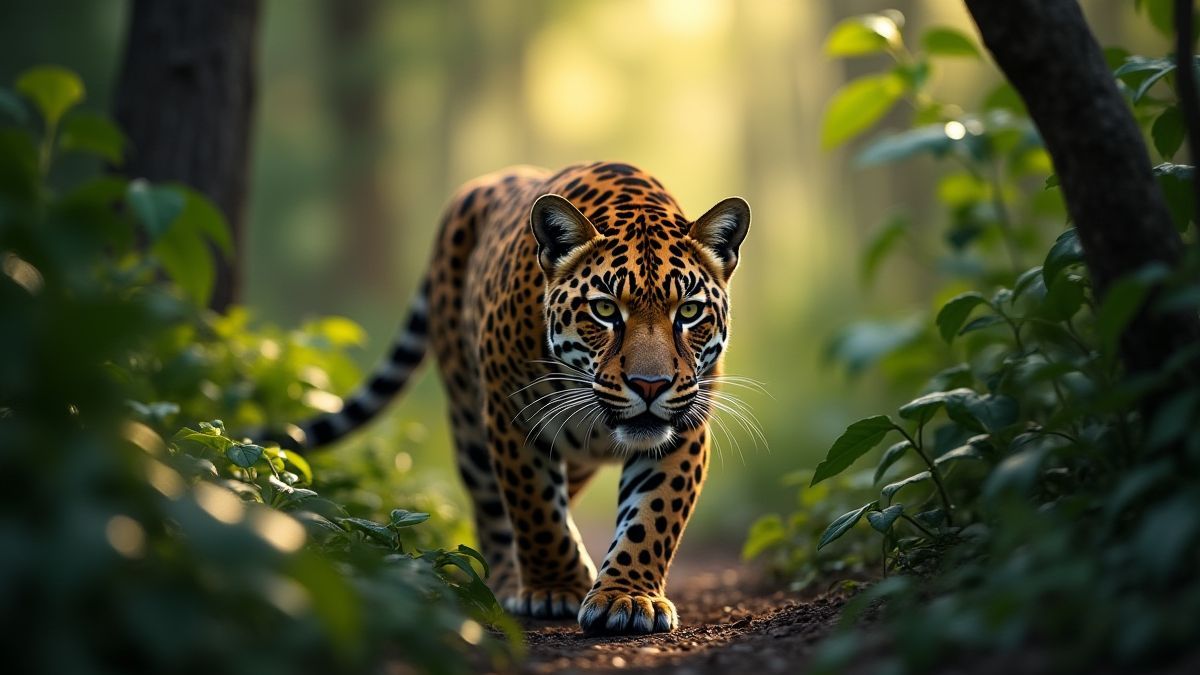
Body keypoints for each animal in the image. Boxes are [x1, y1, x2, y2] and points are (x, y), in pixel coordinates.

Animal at [281, 161, 751, 635]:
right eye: (604, 310)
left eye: (688, 312)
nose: (650, 384)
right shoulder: (514, 415)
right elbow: (536, 511)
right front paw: (556, 589)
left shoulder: (685, 425)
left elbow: (653, 516)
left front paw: (628, 595)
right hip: (470, 423)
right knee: (493, 511)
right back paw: (507, 581)